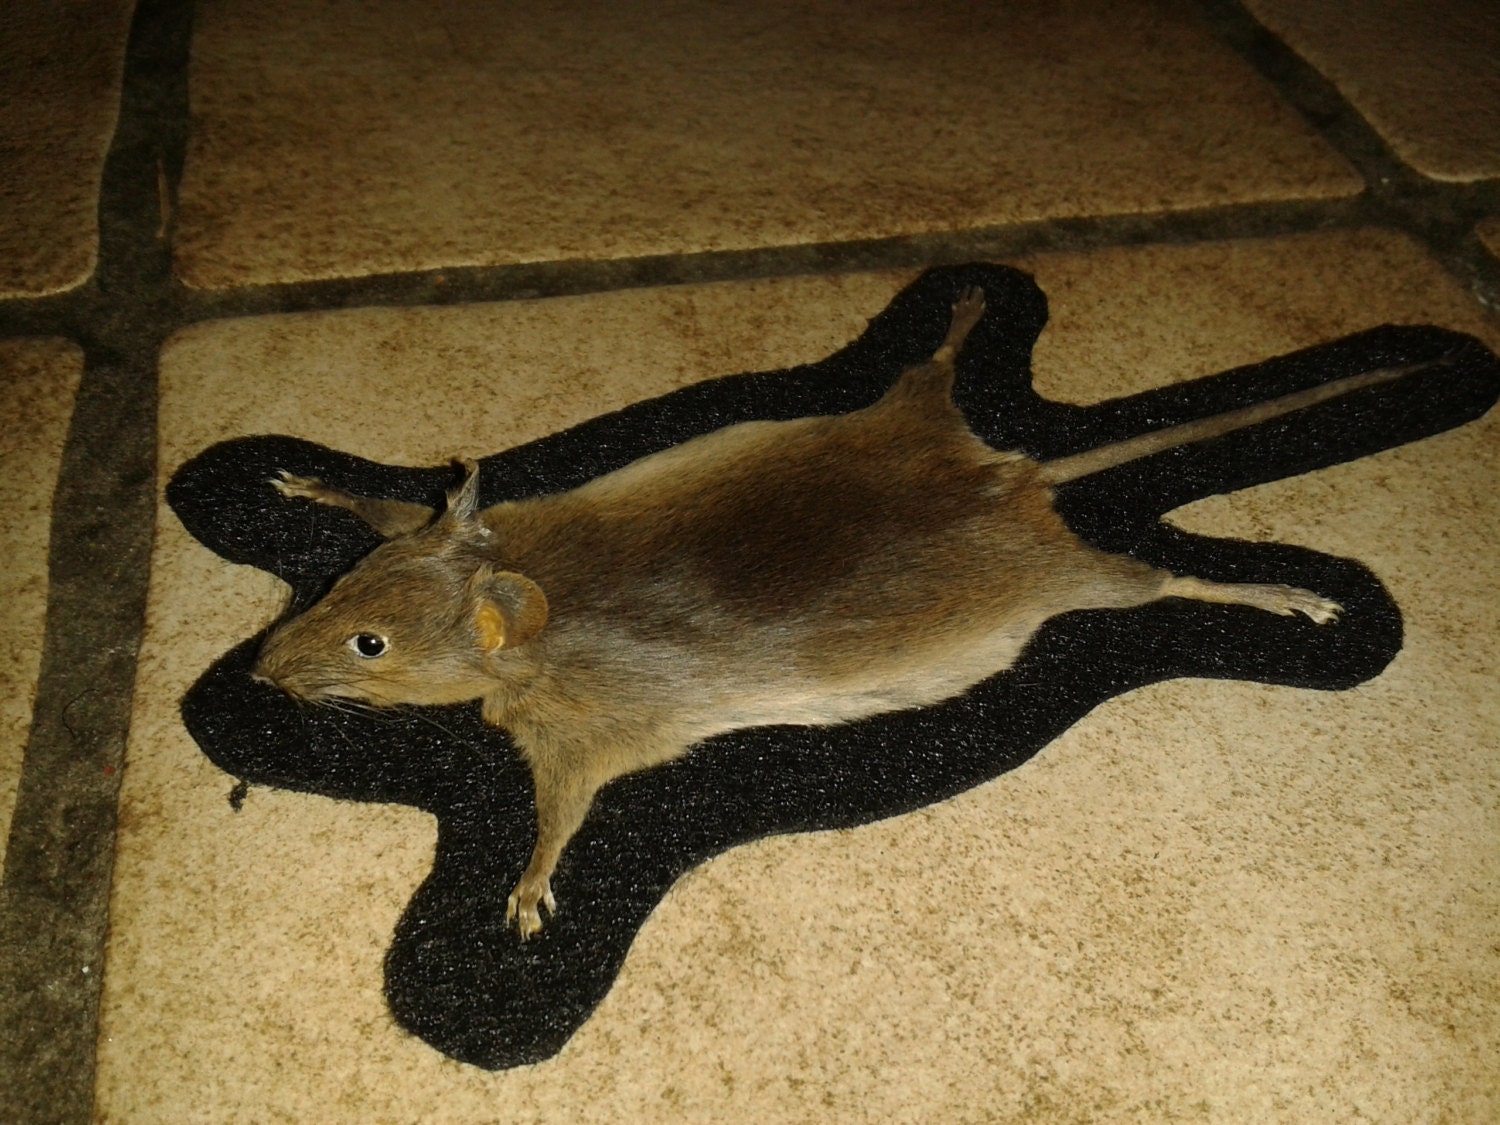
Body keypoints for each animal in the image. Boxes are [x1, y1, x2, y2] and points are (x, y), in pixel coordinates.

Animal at [252, 287, 1432, 938]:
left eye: (368, 644)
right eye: (338, 587)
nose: (259, 675)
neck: (538, 601)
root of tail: (1014, 477)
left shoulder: (585, 744)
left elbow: (558, 817)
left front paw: (529, 896)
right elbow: (384, 501)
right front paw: (302, 485)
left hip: (1067, 588)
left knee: (1165, 583)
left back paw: (1286, 592)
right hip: (897, 416)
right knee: (930, 368)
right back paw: (966, 308)